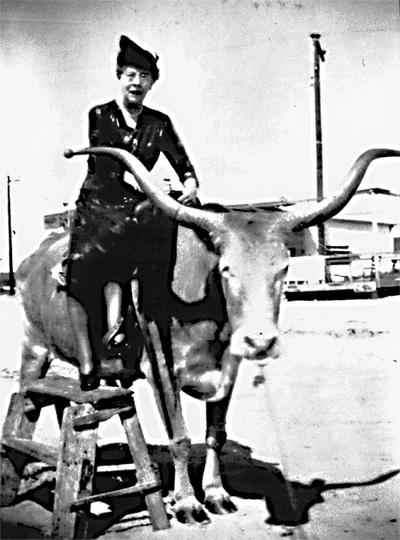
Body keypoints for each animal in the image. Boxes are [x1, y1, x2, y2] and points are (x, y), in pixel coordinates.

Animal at [16, 147, 400, 524]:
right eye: (227, 269)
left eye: (283, 268)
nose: (260, 342)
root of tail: (31, 260)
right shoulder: (161, 371)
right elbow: (180, 437)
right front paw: (186, 502)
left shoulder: (228, 369)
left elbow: (215, 435)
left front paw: (216, 494)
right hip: (33, 347)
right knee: (27, 401)